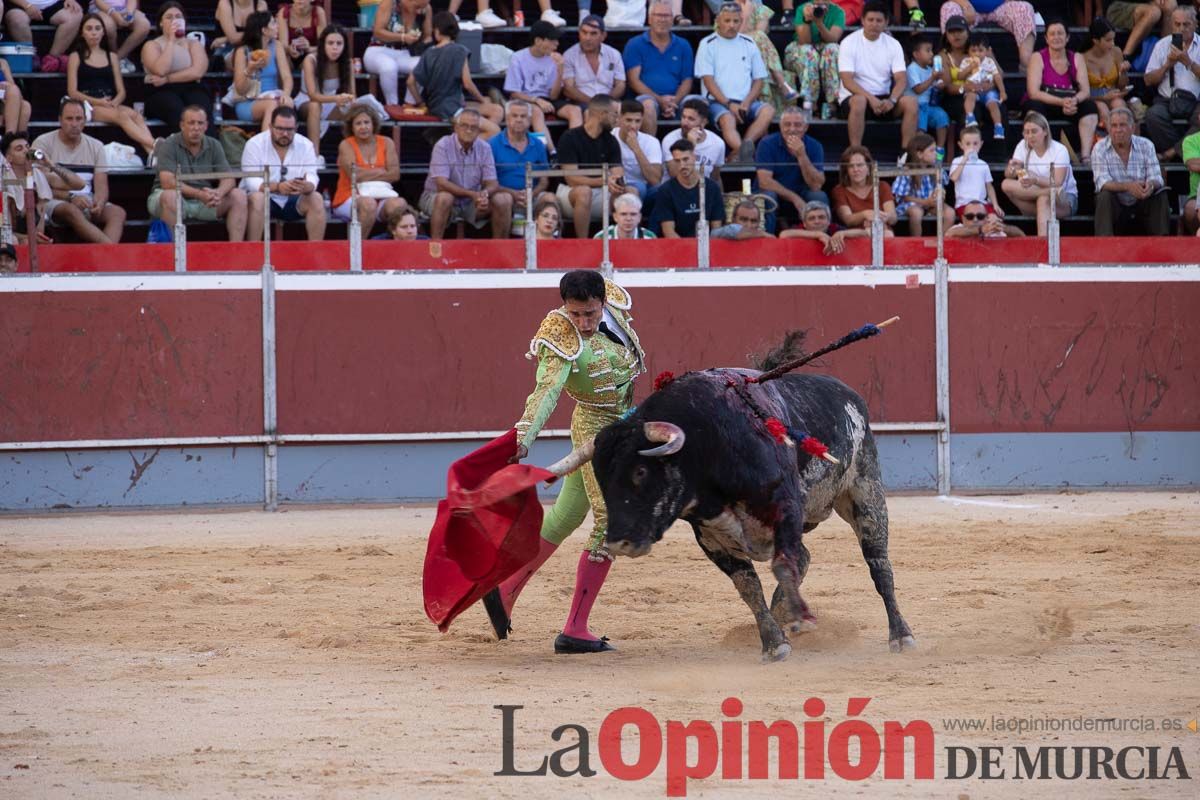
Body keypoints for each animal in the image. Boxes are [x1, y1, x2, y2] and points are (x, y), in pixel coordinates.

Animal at [549, 367, 912, 662]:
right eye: (599, 477)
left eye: (640, 471)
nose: (618, 542)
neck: (705, 448)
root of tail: (848, 393)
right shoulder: (710, 536)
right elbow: (748, 587)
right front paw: (774, 642)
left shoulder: (786, 506)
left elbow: (782, 565)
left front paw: (797, 619)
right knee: (804, 557)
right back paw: (784, 610)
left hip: (865, 492)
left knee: (878, 565)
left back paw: (900, 635)